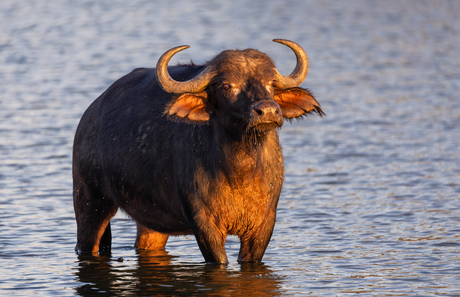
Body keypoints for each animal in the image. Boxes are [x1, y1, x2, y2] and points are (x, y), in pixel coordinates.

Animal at [73, 39, 324, 264]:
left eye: (270, 83)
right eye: (226, 86)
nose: (269, 111)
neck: (239, 173)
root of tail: (88, 117)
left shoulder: (264, 224)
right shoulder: (203, 223)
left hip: (152, 222)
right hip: (90, 203)